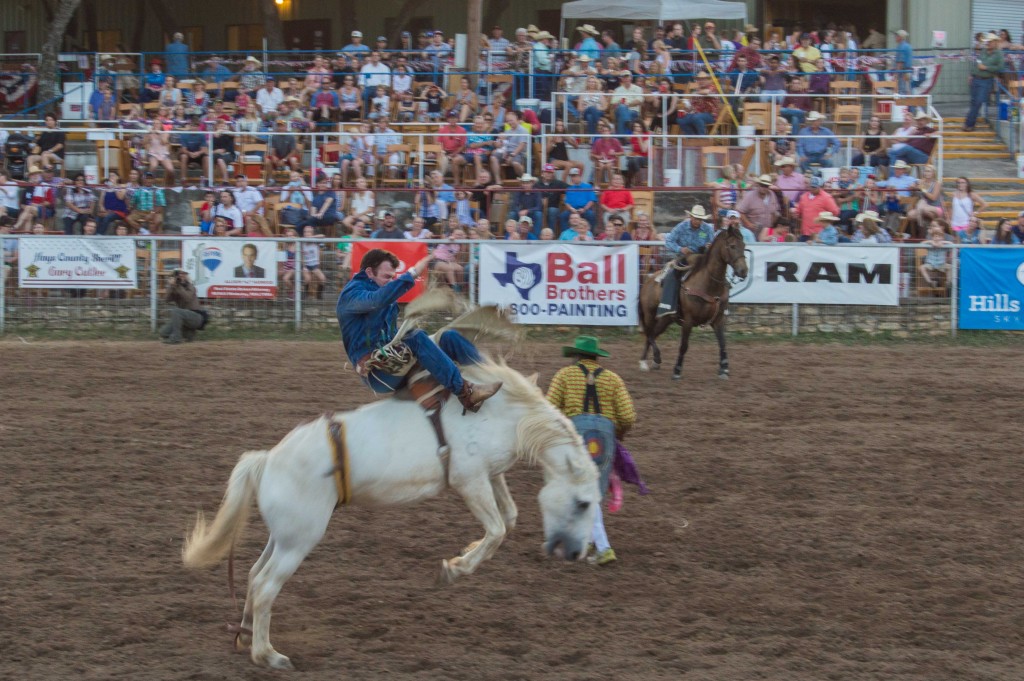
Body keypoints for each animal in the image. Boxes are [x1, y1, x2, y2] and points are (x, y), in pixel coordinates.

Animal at [181, 360, 598, 667]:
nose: (576, 553)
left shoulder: (491, 474)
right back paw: (268, 655)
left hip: (282, 537)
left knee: (254, 576)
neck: (505, 413)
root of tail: (267, 460)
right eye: (583, 503)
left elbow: (508, 518)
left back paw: (247, 633)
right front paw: (453, 568)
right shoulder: (469, 478)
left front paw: (463, 555)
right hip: (298, 542)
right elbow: (496, 528)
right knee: (267, 585)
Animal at [634, 225, 749, 378]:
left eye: (744, 246)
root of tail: (647, 281)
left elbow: (723, 343)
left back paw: (650, 361)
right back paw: (649, 360)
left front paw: (724, 368)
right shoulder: (688, 320)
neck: (708, 285)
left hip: (666, 319)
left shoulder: (718, 319)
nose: (743, 271)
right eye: (732, 246)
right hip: (649, 314)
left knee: (652, 334)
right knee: (649, 333)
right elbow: (684, 346)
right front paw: (677, 370)